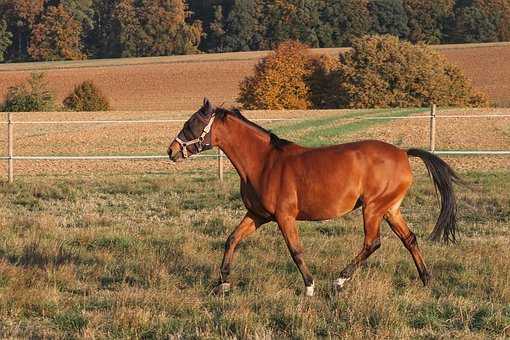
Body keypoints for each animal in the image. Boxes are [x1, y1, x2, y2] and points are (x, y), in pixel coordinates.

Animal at [168, 98, 462, 294]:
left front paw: (309, 286)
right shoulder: (257, 215)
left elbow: (295, 250)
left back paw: (339, 281)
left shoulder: (284, 217)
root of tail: (402, 153)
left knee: (372, 243)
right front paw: (223, 283)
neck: (264, 163)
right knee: (409, 239)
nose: (171, 151)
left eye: (192, 124)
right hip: (390, 209)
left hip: (373, 208)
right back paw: (426, 279)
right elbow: (232, 239)